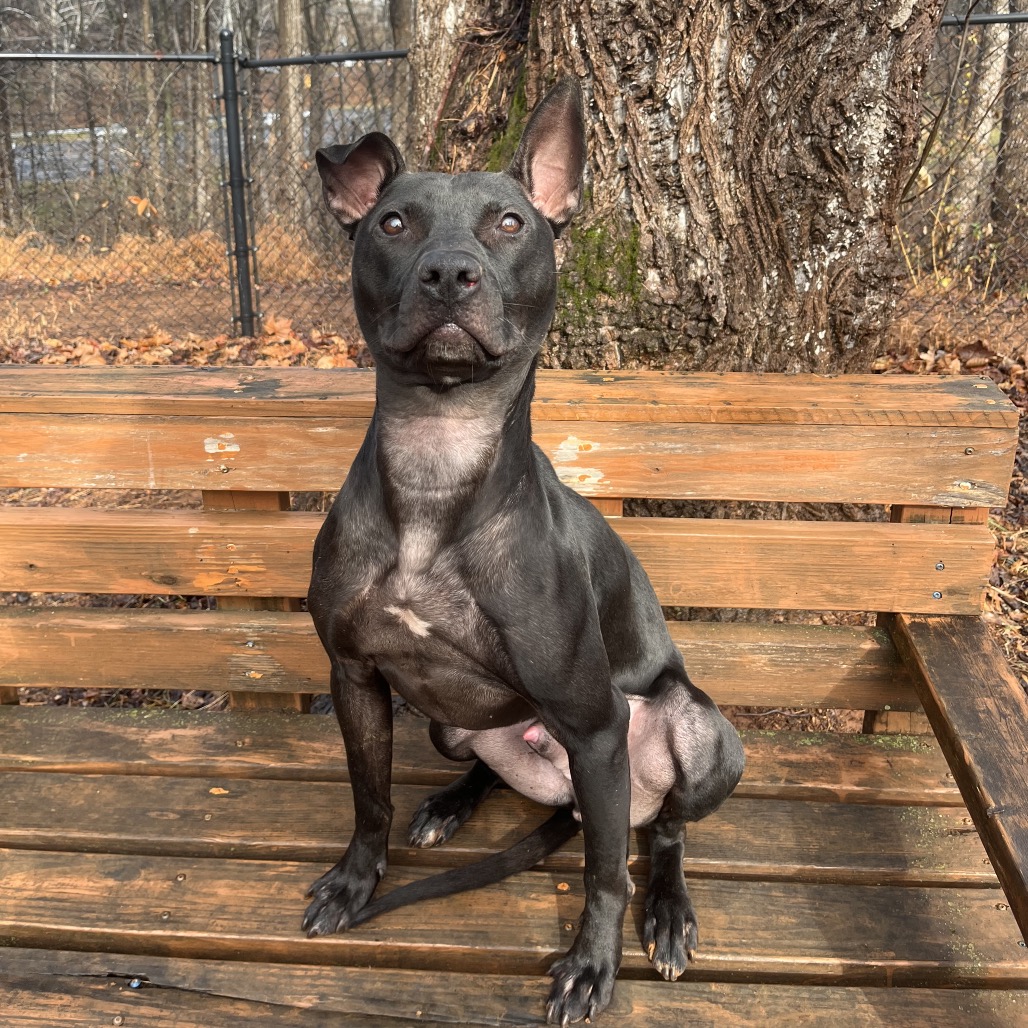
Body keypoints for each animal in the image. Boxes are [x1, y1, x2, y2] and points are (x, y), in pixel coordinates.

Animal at [303, 78, 745, 1025]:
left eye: (510, 222)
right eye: (393, 223)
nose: (448, 272)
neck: (438, 462)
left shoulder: (593, 722)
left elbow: (605, 876)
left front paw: (591, 964)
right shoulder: (355, 676)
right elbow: (367, 798)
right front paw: (357, 881)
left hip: (695, 736)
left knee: (662, 831)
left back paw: (670, 910)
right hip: (448, 720)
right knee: (488, 769)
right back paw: (451, 803)